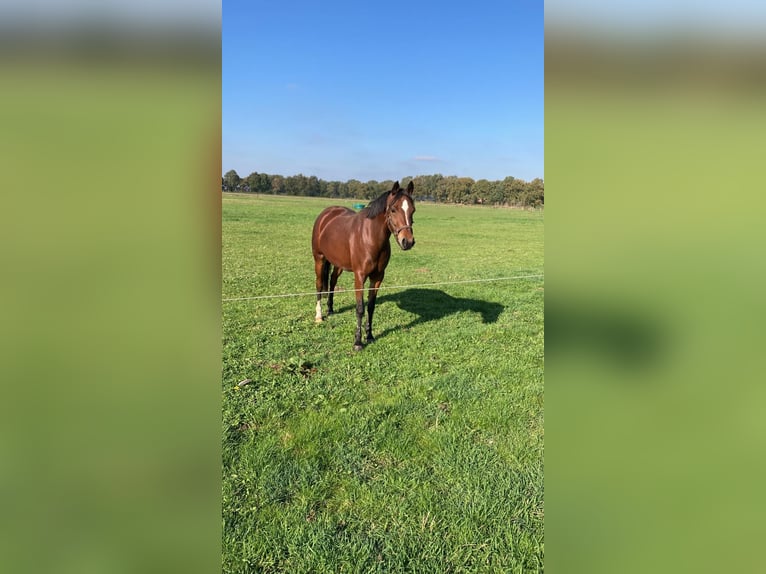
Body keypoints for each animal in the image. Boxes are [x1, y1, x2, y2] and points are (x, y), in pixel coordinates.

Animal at [312, 181, 416, 352]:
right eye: (393, 210)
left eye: (413, 210)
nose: (407, 241)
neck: (370, 237)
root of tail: (326, 214)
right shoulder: (359, 277)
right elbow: (360, 308)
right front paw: (358, 342)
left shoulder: (377, 277)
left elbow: (371, 307)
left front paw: (370, 336)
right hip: (319, 259)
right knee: (319, 285)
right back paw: (319, 316)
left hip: (338, 264)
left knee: (332, 282)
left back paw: (331, 309)